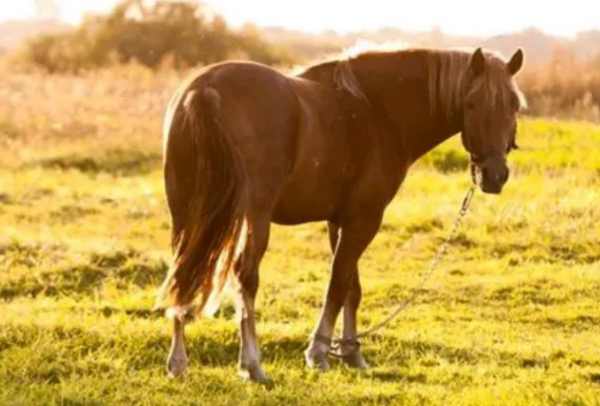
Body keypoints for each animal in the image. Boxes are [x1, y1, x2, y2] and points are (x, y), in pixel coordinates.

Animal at [155, 46, 524, 382]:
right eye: (471, 103)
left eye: (513, 104)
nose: (494, 176)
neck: (376, 112)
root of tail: (204, 91)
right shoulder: (365, 220)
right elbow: (337, 283)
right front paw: (319, 352)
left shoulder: (341, 220)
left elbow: (351, 287)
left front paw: (350, 352)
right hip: (253, 216)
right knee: (245, 277)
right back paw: (252, 365)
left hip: (185, 213)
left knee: (181, 272)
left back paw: (178, 363)